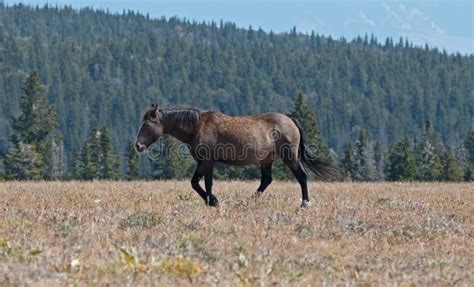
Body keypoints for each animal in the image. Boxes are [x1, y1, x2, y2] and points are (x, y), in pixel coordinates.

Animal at [133, 105, 336, 207]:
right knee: (266, 180)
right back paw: (249, 201)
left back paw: (305, 203)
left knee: (302, 177)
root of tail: (290, 120)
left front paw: (212, 201)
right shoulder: (201, 162)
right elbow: (194, 183)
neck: (197, 126)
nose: (138, 145)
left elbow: (207, 183)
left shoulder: (208, 161)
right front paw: (211, 200)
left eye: (148, 124)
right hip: (267, 159)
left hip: (289, 156)